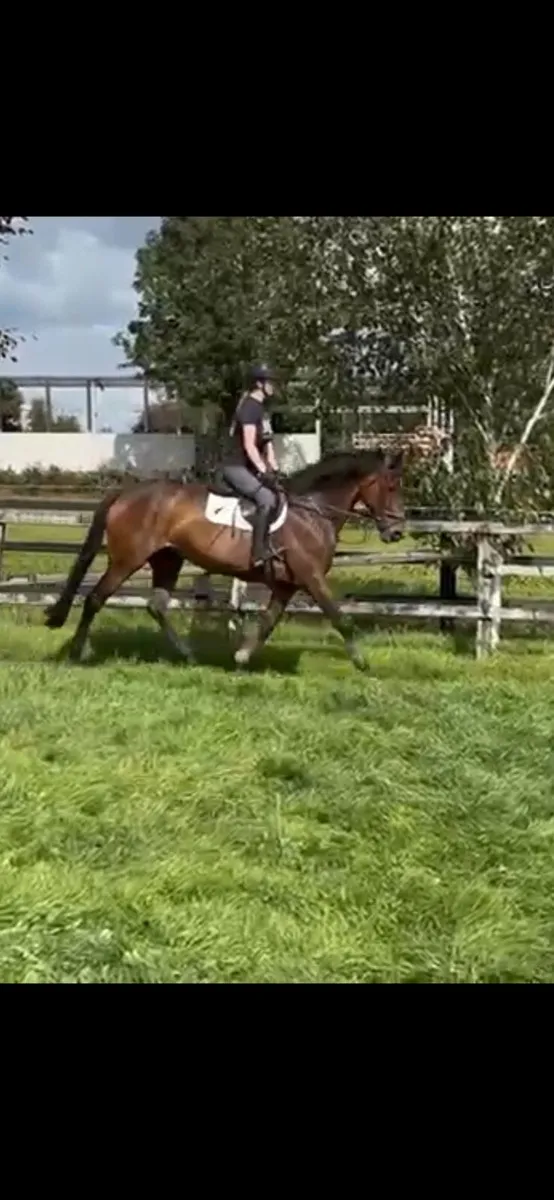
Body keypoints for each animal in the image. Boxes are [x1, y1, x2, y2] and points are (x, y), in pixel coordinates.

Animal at [44, 447, 405, 670]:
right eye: (390, 485)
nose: (397, 532)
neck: (312, 511)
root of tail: (126, 493)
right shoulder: (311, 577)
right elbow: (339, 617)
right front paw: (361, 662)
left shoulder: (287, 585)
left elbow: (267, 622)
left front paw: (242, 656)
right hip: (127, 560)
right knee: (95, 599)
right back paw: (77, 653)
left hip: (167, 560)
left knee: (156, 606)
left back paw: (188, 656)